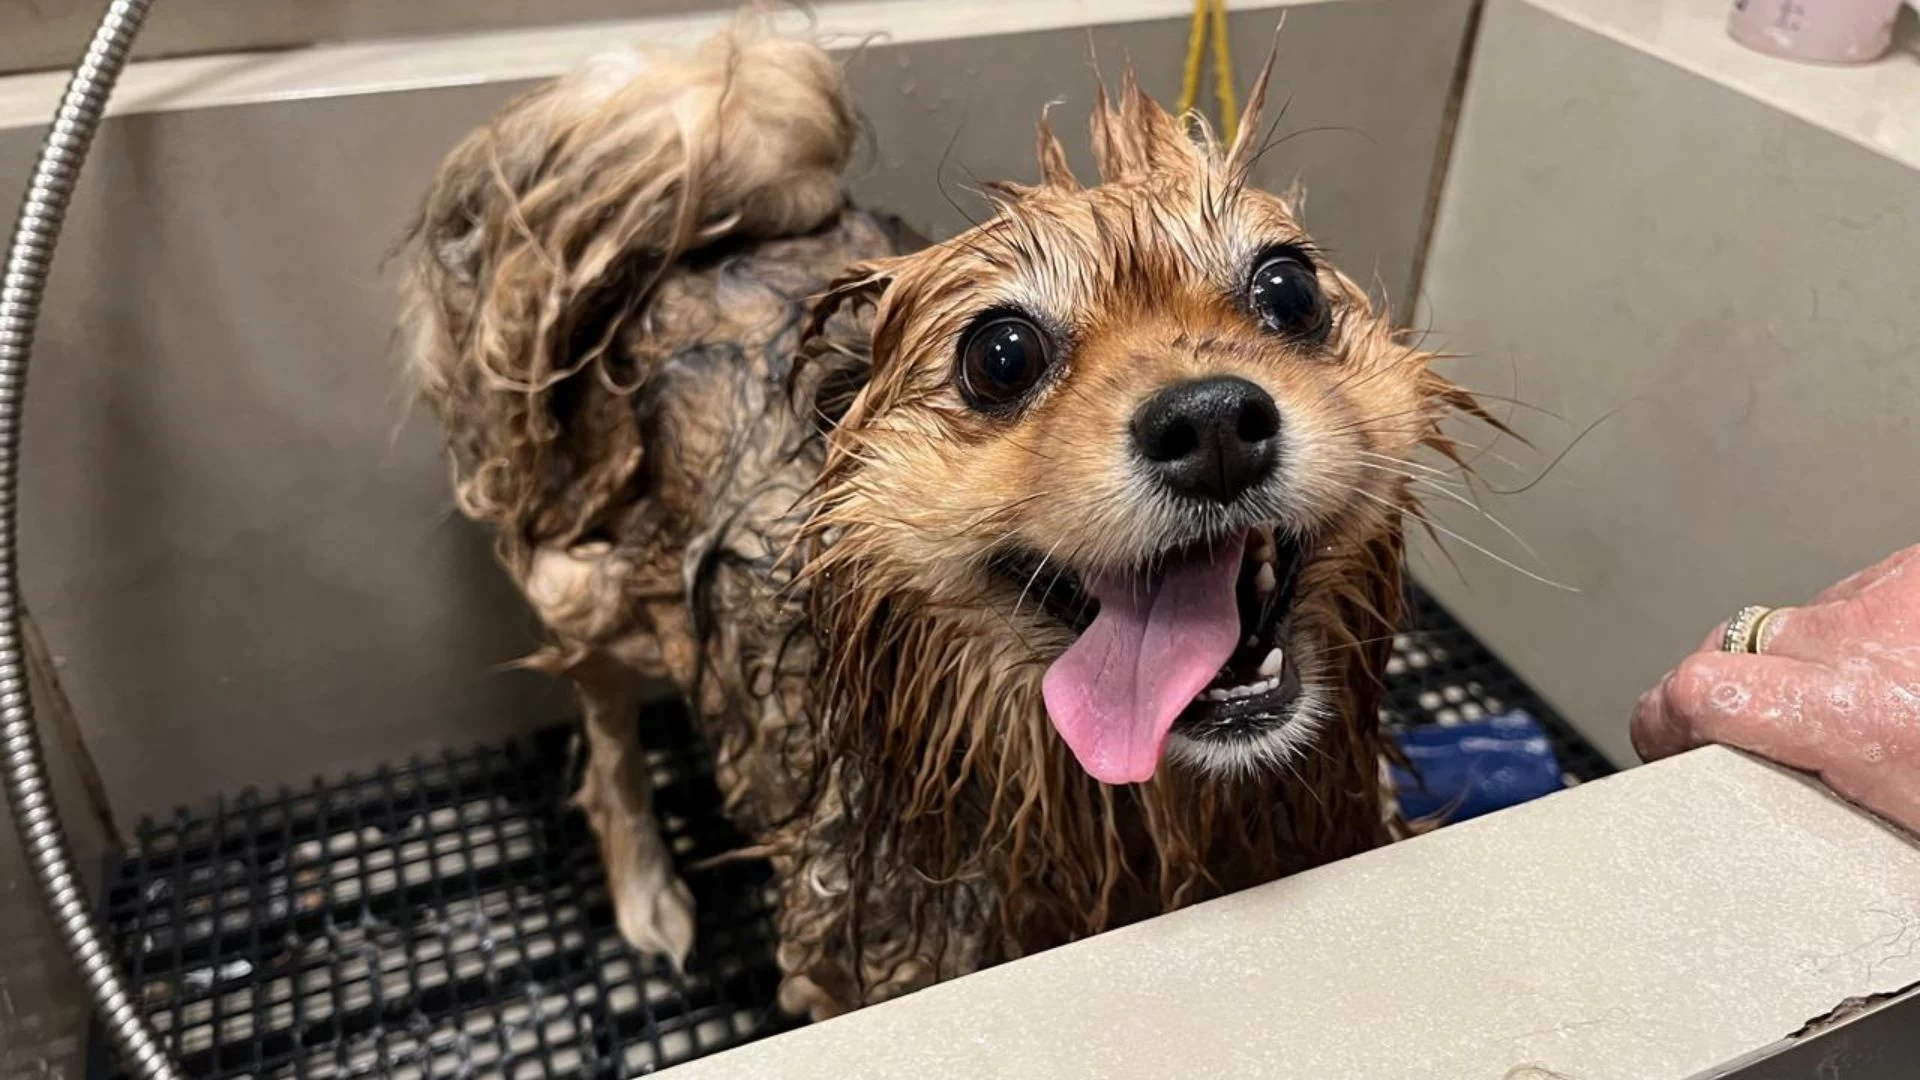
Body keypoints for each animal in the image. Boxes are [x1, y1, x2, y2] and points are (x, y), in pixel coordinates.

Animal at [401, 25, 1482, 1014]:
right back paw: (646, 888)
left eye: (1288, 289)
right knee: (604, 720)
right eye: (1001, 354)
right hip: (587, 579)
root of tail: (717, 225)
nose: (1212, 422)